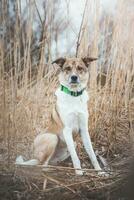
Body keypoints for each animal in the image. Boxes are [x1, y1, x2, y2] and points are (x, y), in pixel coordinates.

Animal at [15, 56, 102, 189]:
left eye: (80, 68)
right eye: (68, 68)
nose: (74, 77)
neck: (74, 95)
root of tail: (35, 157)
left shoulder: (84, 130)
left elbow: (92, 153)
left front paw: (100, 171)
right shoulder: (67, 130)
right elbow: (75, 156)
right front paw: (79, 172)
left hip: (70, 145)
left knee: (49, 162)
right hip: (52, 138)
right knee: (42, 165)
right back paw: (50, 170)